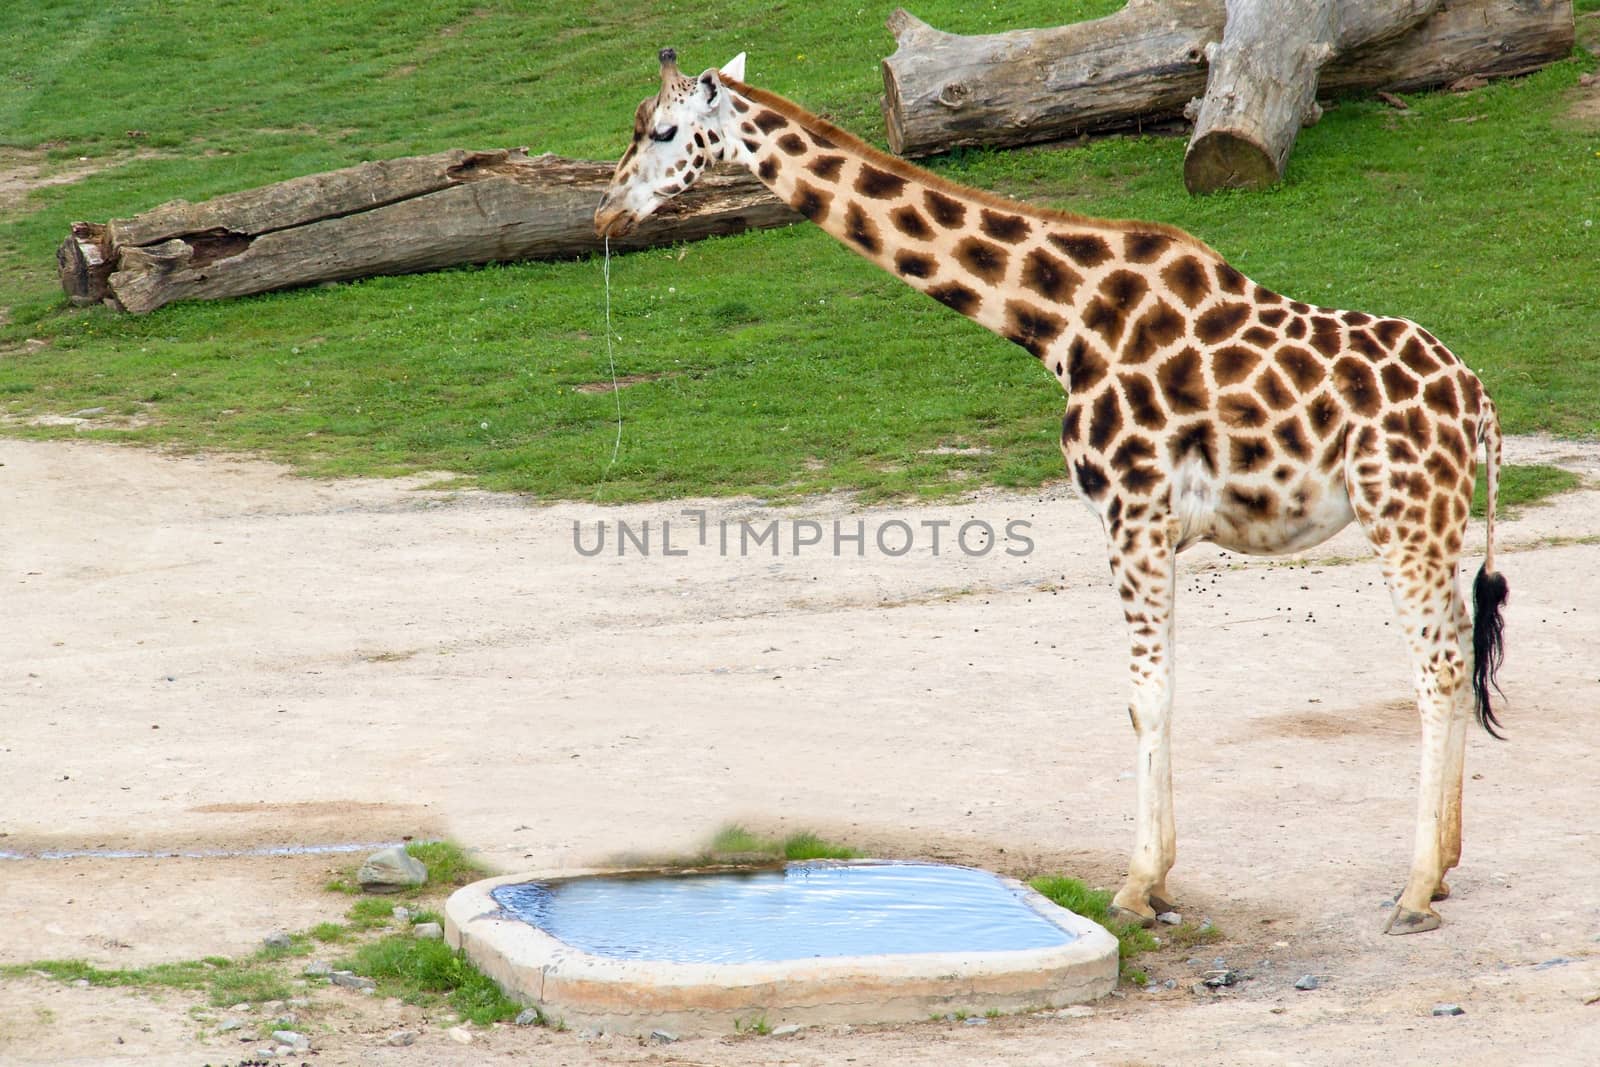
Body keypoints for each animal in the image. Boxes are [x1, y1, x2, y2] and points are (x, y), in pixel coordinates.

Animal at [595, 49, 1504, 934]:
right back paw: (1448, 867)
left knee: (1437, 666)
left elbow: (1146, 696)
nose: (605, 214)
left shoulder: (1133, 510)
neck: (1062, 319)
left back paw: (1414, 889)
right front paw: (1156, 880)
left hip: (1400, 512)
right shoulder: (1152, 524)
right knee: (1460, 646)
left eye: (664, 129)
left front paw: (1138, 887)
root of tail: (1479, 400)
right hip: (1438, 518)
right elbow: (1159, 690)